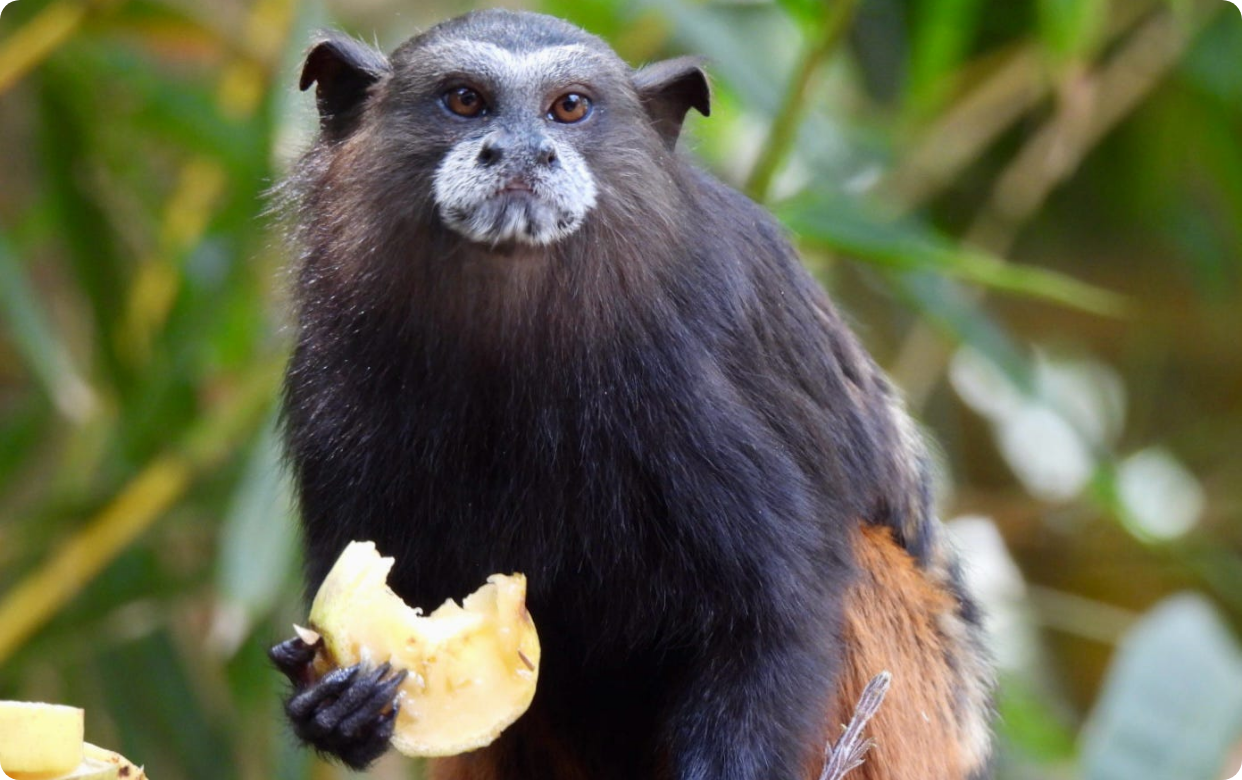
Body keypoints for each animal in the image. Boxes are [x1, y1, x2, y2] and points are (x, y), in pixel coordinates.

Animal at [268, 9, 994, 780]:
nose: (522, 154)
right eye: (464, 100)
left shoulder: (685, 382)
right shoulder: (331, 377)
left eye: (569, 107)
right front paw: (338, 708)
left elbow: (779, 606)